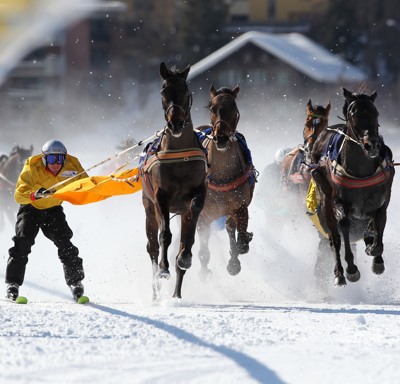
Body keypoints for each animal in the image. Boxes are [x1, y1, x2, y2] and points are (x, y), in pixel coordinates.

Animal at [141, 62, 208, 300]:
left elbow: (187, 236)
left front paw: (184, 258)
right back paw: (155, 288)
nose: (176, 123)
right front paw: (163, 269)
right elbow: (164, 236)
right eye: (163, 91)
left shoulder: (198, 193)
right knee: (152, 246)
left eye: (186, 91)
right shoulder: (161, 197)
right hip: (148, 209)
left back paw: (177, 293)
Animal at [196, 85, 256, 276]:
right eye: (212, 108)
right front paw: (203, 271)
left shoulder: (240, 206)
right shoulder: (202, 215)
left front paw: (235, 259)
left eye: (234, 109)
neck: (221, 175)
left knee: (230, 227)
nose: (221, 138)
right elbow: (203, 248)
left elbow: (241, 239)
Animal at [310, 87, 394, 284]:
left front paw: (376, 256)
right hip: (324, 199)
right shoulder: (338, 202)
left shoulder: (381, 200)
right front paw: (351, 269)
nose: (372, 144)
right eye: (354, 113)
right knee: (334, 238)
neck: (361, 173)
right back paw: (339, 273)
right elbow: (344, 225)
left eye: (375, 113)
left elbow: (379, 224)